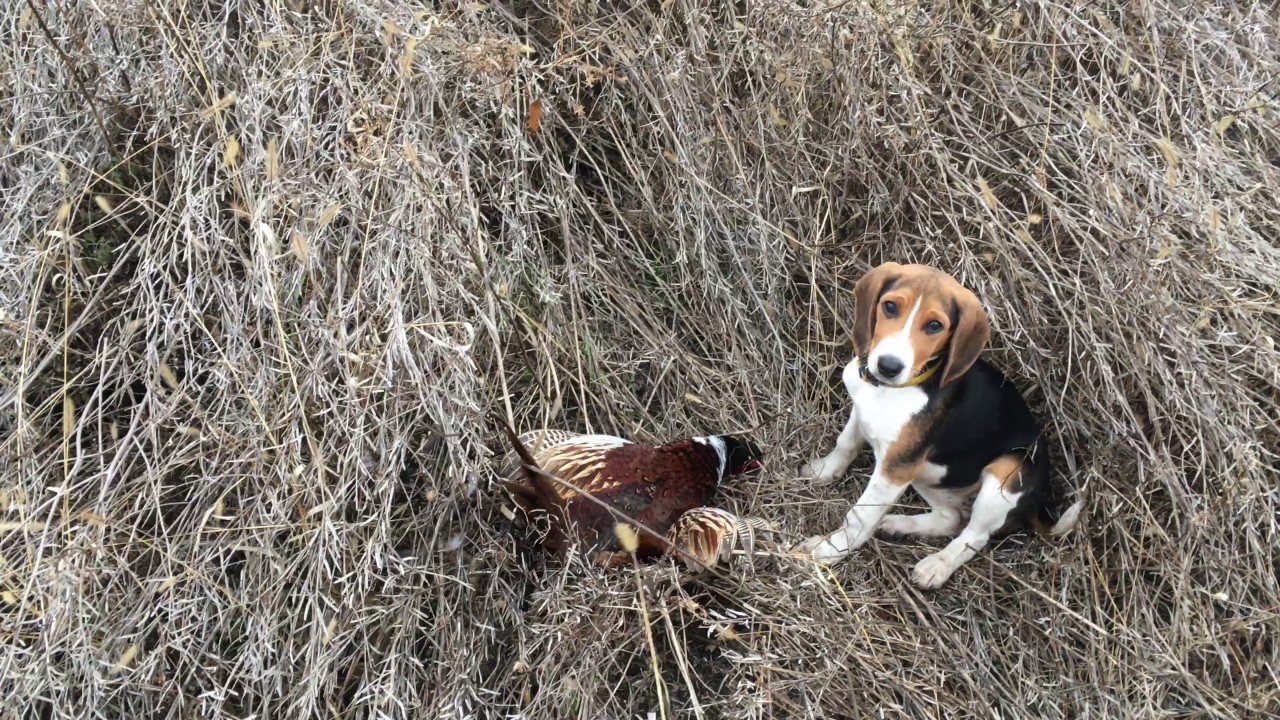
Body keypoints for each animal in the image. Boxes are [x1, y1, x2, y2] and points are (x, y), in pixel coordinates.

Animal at [793, 260, 1085, 586]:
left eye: (935, 325)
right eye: (890, 306)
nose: (889, 366)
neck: (893, 389)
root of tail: (1040, 500)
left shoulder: (895, 469)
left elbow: (860, 515)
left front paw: (828, 549)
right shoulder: (865, 417)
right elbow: (845, 444)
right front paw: (823, 471)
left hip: (1007, 474)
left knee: (973, 535)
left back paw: (936, 565)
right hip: (929, 475)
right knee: (951, 518)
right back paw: (897, 524)